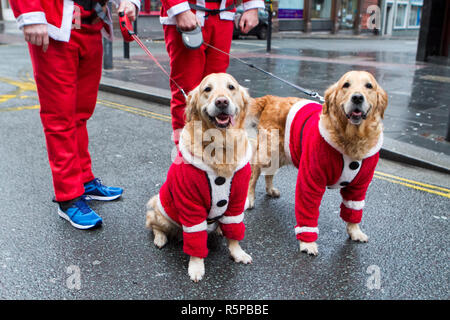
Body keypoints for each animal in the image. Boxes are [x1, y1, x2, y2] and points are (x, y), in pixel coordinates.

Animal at [147, 73, 253, 282]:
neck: (220, 145)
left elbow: (234, 231)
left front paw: (237, 253)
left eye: (231, 87)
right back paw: (160, 238)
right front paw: (196, 267)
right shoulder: (190, 203)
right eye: (207, 89)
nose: (221, 102)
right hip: (162, 213)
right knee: (153, 223)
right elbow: (195, 239)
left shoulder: (237, 199)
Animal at [248, 71, 388, 256]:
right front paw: (307, 243)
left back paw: (270, 189)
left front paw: (355, 231)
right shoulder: (311, 179)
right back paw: (249, 198)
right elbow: (308, 214)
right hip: (267, 152)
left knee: (269, 173)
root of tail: (272, 98)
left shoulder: (359, 185)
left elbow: (354, 209)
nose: (357, 98)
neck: (352, 138)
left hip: (283, 153)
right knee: (254, 174)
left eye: (369, 86)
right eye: (346, 85)